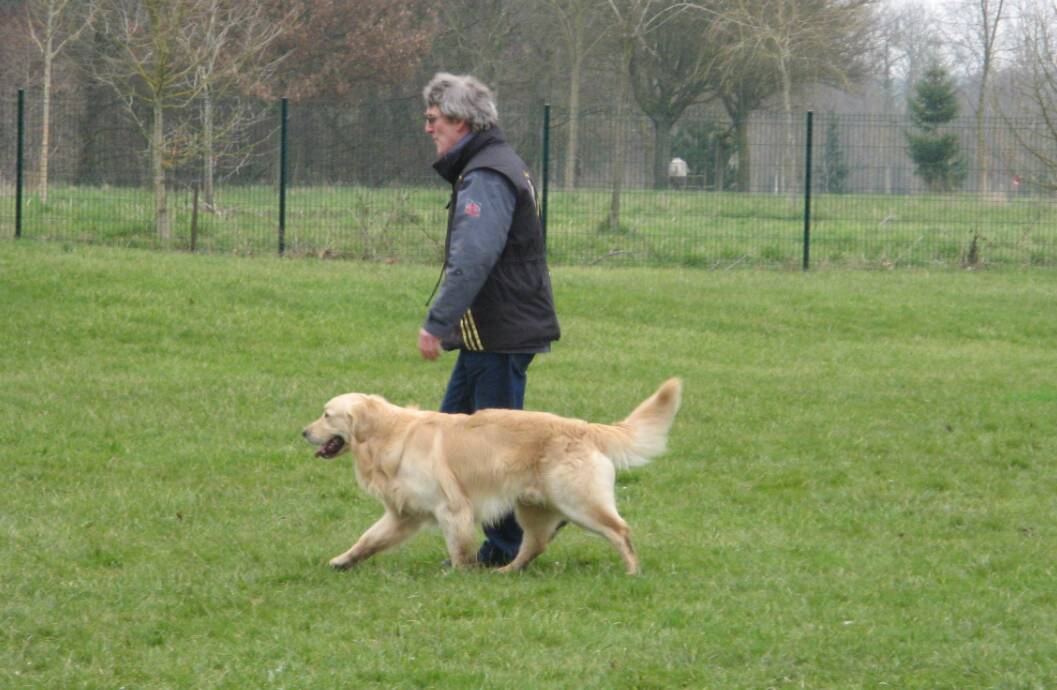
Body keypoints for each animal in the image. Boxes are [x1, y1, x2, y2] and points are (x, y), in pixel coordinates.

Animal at [304, 376, 684, 574]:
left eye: (326, 415)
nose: (303, 432)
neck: (389, 435)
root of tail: (586, 427)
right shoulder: (403, 514)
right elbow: (367, 539)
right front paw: (343, 560)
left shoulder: (451, 507)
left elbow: (459, 548)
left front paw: (460, 576)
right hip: (534, 507)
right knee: (535, 544)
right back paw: (506, 572)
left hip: (579, 502)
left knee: (620, 531)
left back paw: (633, 571)